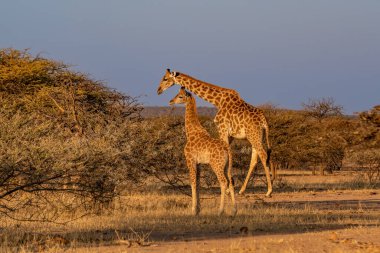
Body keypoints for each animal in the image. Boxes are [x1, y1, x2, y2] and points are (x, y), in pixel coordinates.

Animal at [157, 69, 274, 198]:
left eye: (165, 78)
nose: (158, 90)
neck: (217, 101)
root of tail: (264, 121)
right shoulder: (229, 135)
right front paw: (229, 188)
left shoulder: (222, 128)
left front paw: (226, 189)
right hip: (255, 137)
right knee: (255, 159)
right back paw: (242, 190)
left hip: (254, 136)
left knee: (263, 155)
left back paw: (269, 191)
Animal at [170, 87, 236, 215]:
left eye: (180, 96)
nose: (171, 101)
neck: (190, 132)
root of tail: (227, 148)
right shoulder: (199, 163)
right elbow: (198, 183)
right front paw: (198, 210)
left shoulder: (190, 160)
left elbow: (192, 182)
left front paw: (193, 210)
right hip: (227, 166)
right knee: (231, 181)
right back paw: (234, 211)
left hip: (216, 165)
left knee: (223, 182)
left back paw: (220, 211)